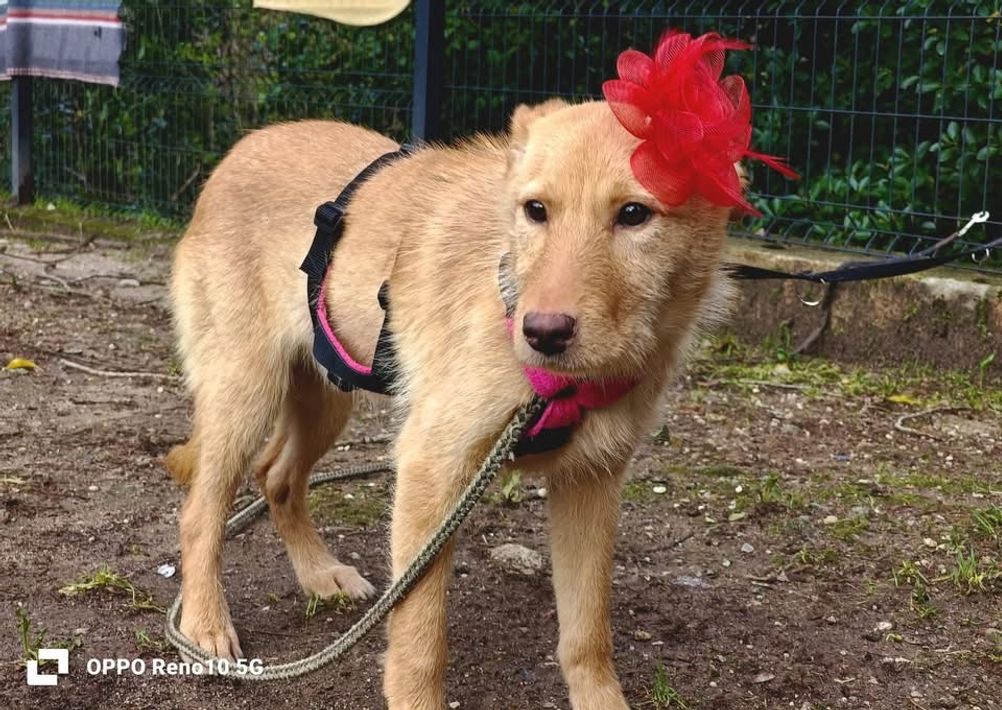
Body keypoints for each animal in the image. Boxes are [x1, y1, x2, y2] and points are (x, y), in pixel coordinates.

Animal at [165, 31, 794, 708]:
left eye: (634, 214)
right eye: (536, 210)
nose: (543, 333)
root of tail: (239, 151)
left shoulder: (591, 483)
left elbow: (587, 632)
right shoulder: (432, 470)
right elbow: (420, 635)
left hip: (327, 395)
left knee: (278, 477)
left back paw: (318, 574)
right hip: (246, 391)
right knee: (201, 512)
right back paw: (205, 622)